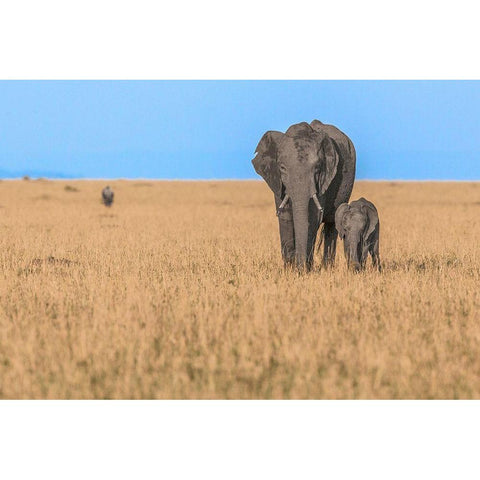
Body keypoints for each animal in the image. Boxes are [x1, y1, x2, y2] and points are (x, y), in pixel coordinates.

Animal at [253, 119, 354, 270]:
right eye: (282, 168)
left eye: (317, 169)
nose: (299, 268)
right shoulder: (278, 181)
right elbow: (285, 217)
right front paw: (289, 269)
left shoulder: (322, 181)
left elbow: (312, 218)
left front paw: (305, 270)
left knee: (332, 225)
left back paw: (327, 268)